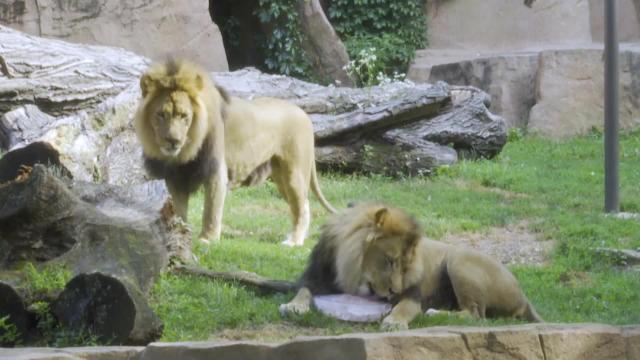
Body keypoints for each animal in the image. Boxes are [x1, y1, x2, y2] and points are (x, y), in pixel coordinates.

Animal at [133, 59, 338, 246]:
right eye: (161, 115)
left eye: (184, 116)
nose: (173, 141)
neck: (183, 153)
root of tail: (304, 115)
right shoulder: (175, 177)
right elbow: (178, 208)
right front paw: (179, 234)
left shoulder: (215, 170)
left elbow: (211, 209)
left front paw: (207, 239)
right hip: (281, 178)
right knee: (300, 205)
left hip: (294, 172)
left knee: (303, 205)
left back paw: (294, 242)